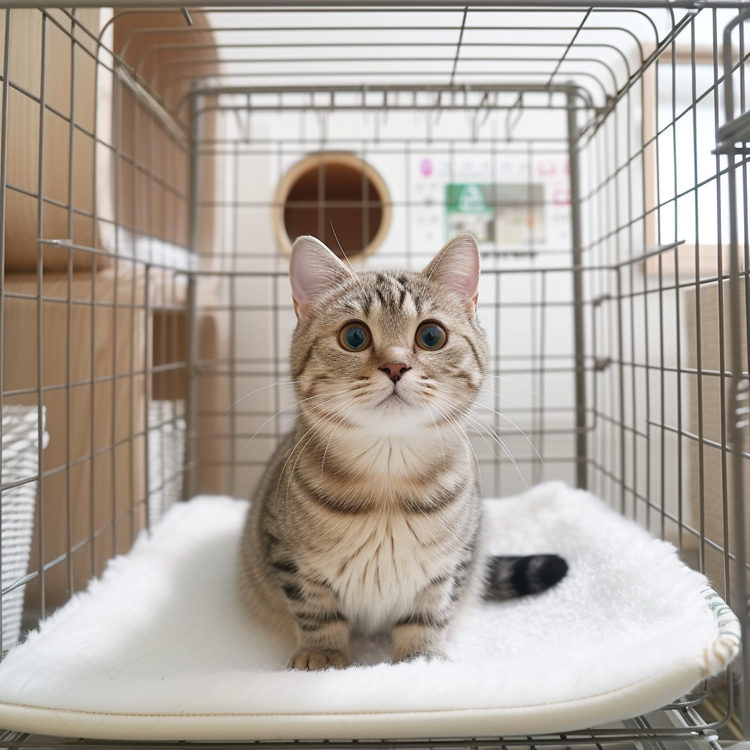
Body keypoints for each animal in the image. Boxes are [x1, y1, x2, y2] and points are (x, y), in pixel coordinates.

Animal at [242, 234, 568, 668]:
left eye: (431, 336)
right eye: (355, 337)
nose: (396, 367)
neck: (388, 483)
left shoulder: (454, 560)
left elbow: (431, 610)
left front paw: (420, 658)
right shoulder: (286, 553)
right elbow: (315, 608)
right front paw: (322, 652)